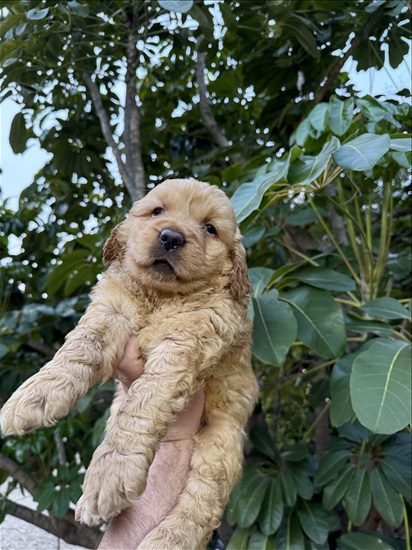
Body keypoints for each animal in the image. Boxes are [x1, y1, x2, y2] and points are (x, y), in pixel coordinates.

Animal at [0, 179, 258, 548]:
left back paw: (167, 538)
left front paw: (110, 476)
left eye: (210, 228)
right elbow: (81, 346)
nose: (171, 237)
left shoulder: (185, 342)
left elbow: (140, 403)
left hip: (221, 441)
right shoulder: (111, 309)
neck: (160, 296)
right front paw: (33, 396)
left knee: (203, 499)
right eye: (157, 211)